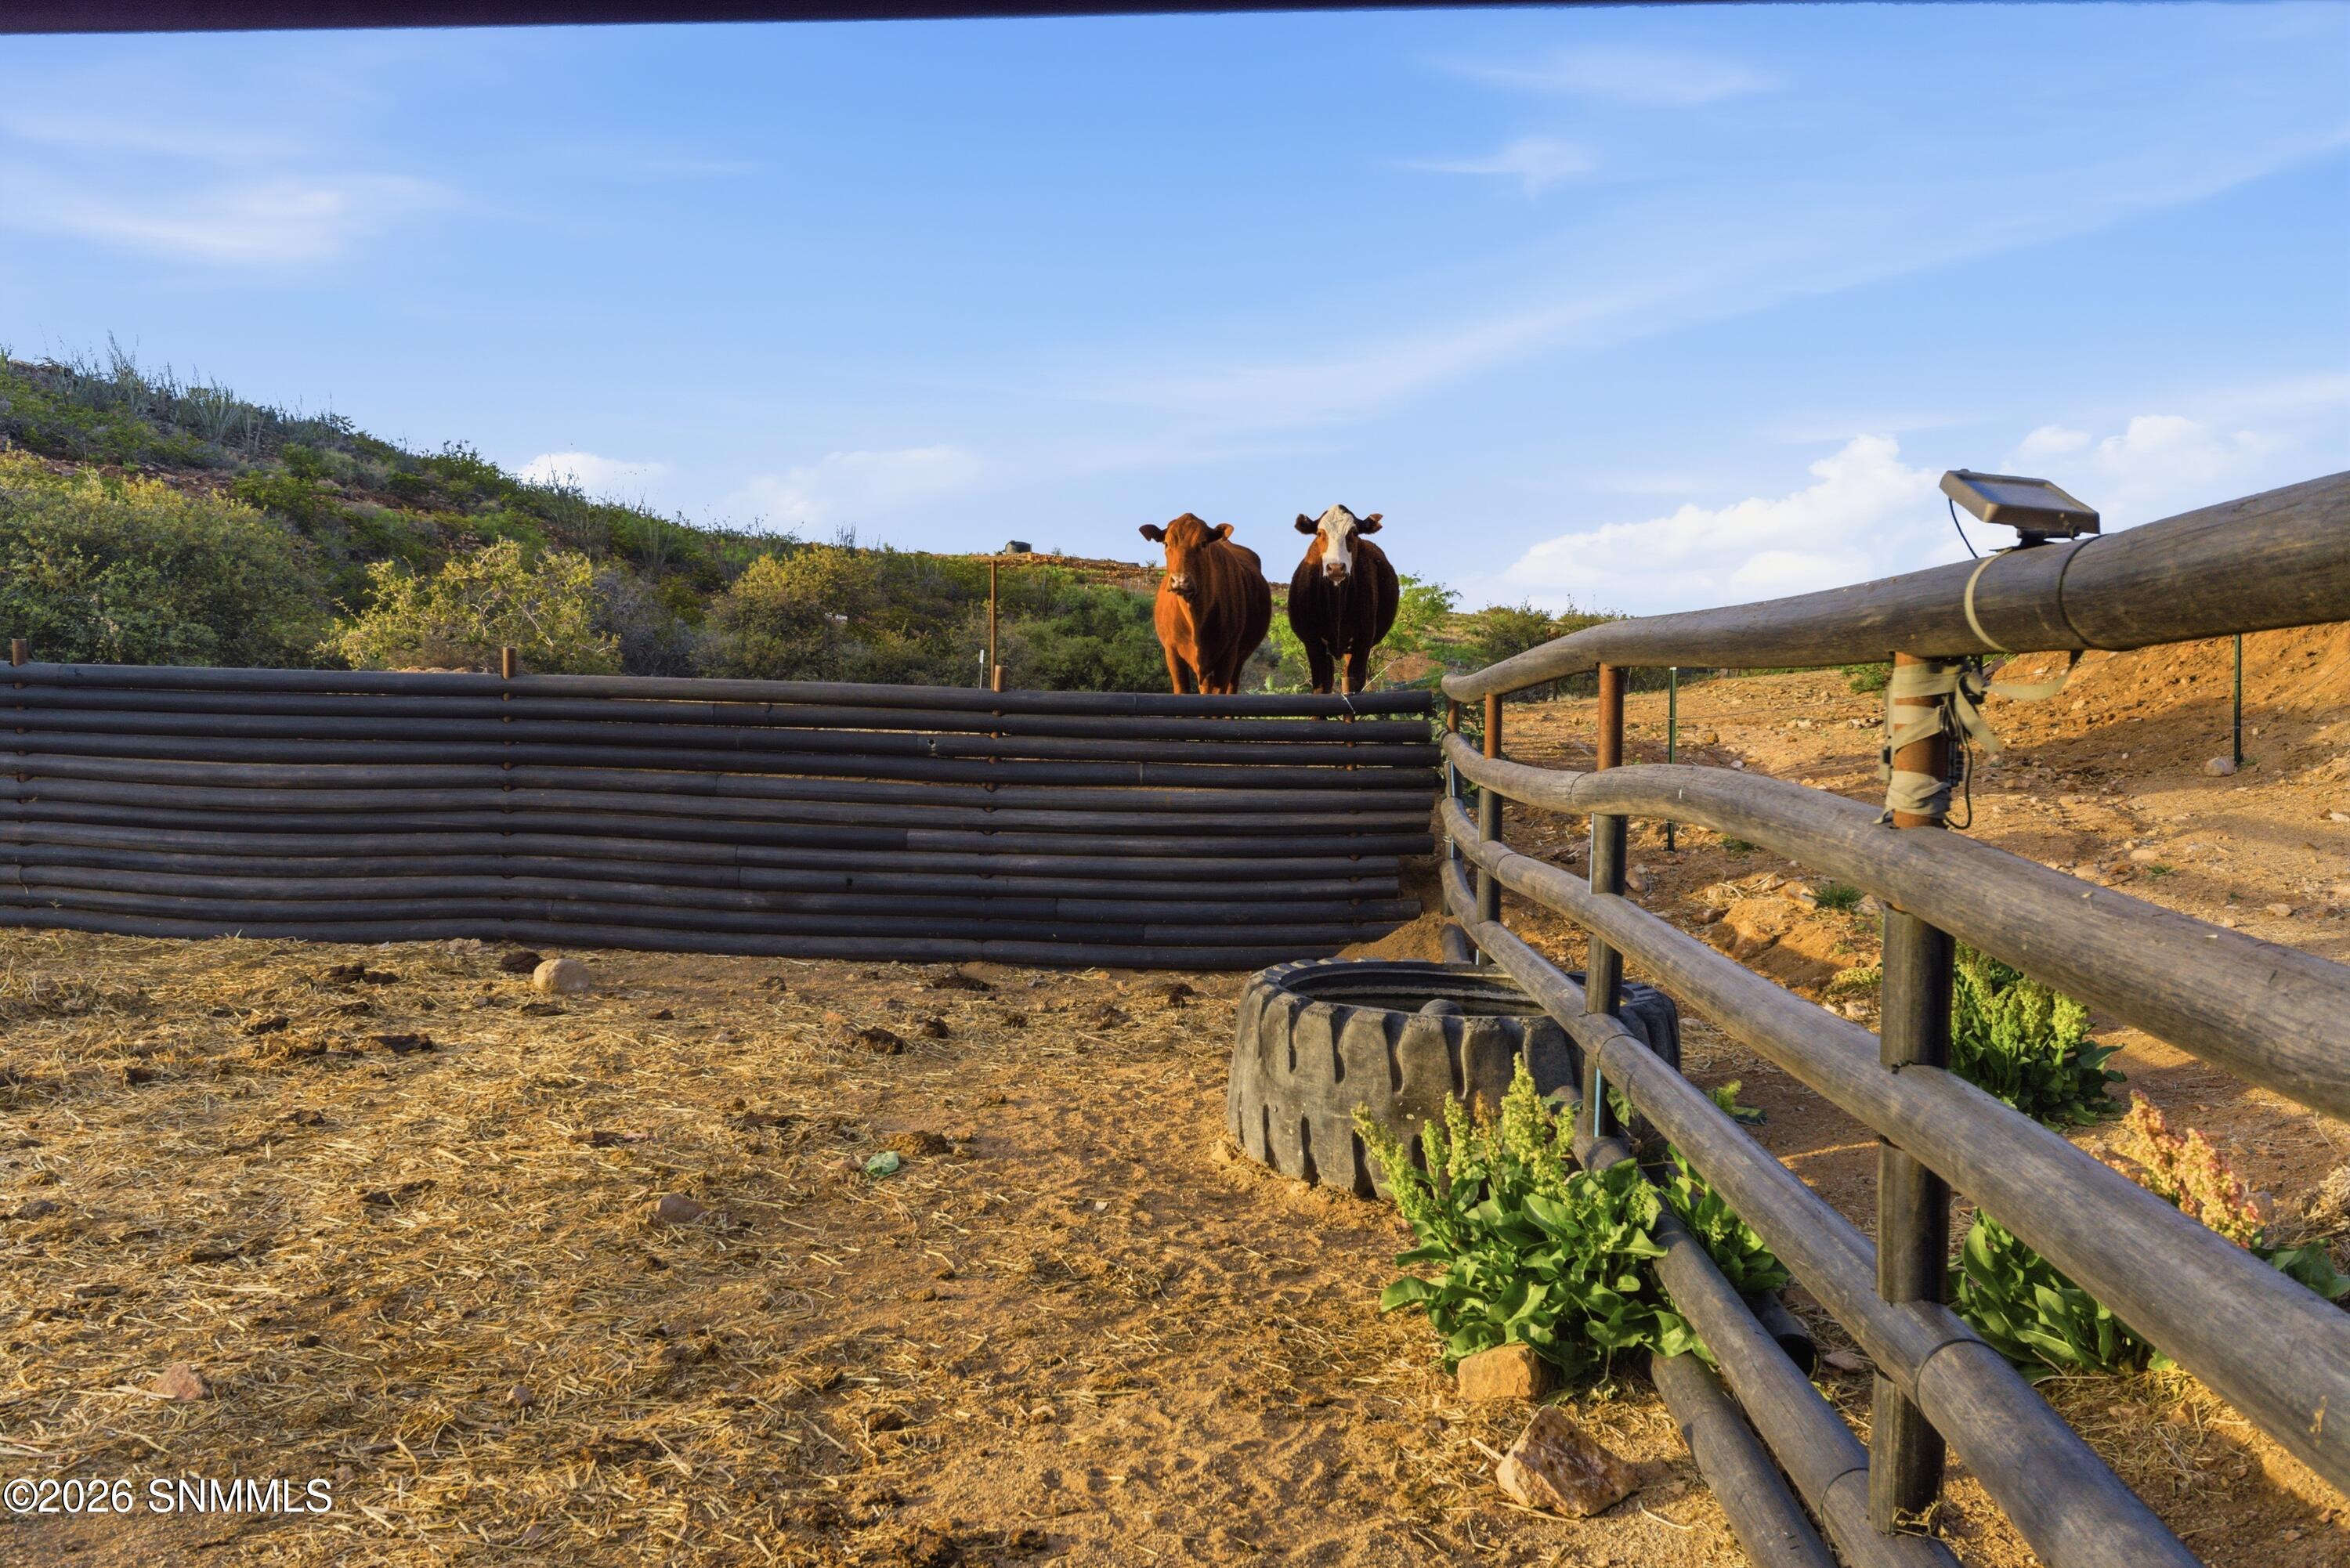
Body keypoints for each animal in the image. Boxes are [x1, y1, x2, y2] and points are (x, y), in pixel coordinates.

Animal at [1138, 513, 1272, 694]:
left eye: (1202, 544)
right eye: (1166, 543)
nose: (1180, 580)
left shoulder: (1228, 656)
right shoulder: (1172, 652)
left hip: (1237, 661)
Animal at [1287, 504, 1399, 695]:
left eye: (1353, 532)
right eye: (1320, 533)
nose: (1336, 568)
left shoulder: (1362, 643)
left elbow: (1352, 684)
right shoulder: (1314, 643)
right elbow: (1322, 686)